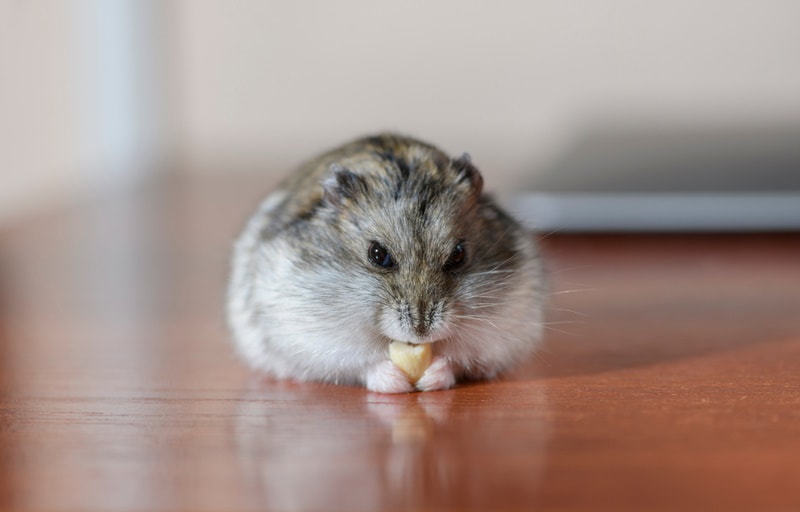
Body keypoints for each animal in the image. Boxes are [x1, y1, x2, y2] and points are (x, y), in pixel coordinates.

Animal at [228, 133, 548, 392]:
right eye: (377, 254)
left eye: (458, 254)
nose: (421, 331)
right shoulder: (314, 337)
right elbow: (362, 363)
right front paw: (395, 382)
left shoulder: (501, 330)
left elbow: (457, 360)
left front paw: (432, 377)